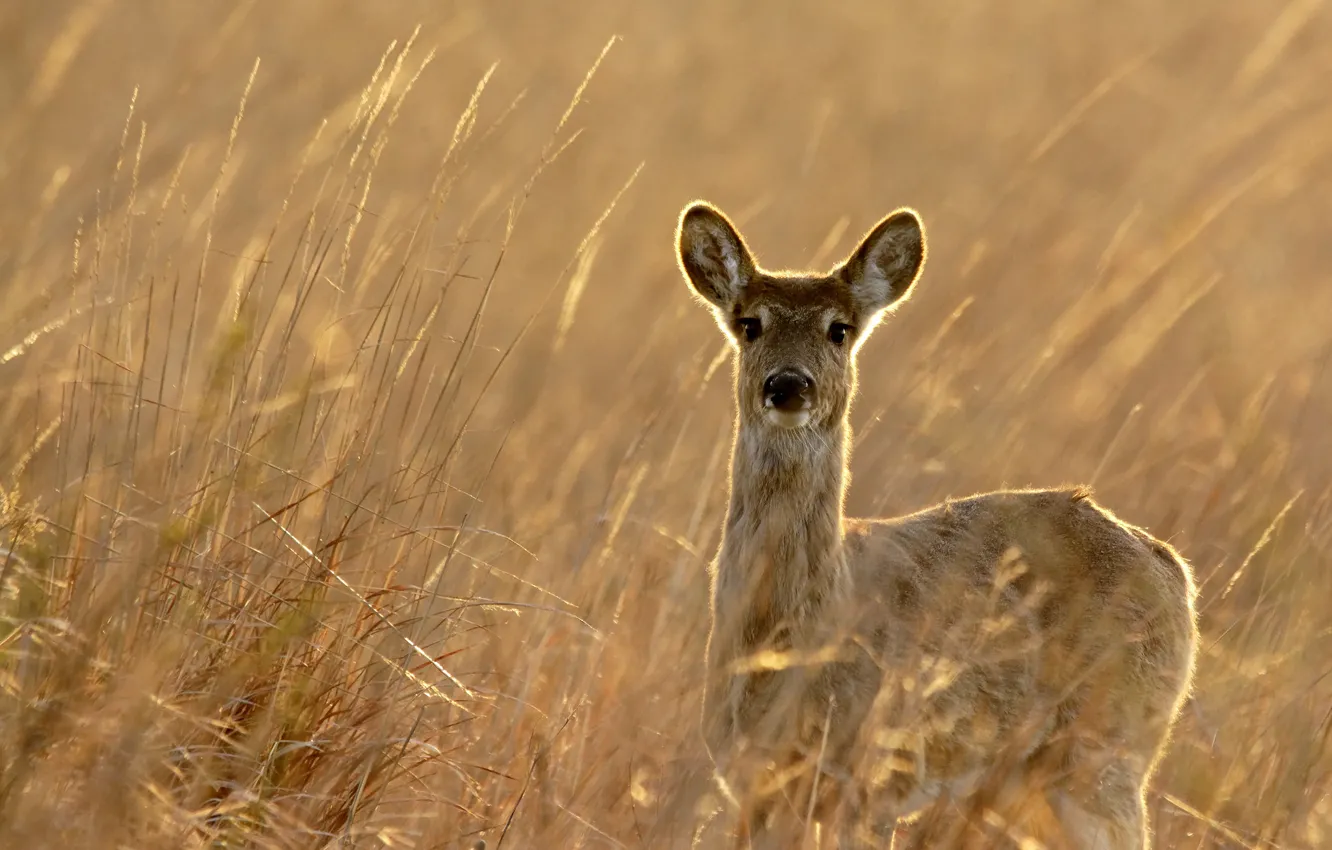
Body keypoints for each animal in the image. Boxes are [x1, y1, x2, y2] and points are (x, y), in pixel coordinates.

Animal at [676, 201, 1198, 850]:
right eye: (750, 323)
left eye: (839, 329)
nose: (789, 384)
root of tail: (1172, 567)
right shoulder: (751, 782)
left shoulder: (871, 779)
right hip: (1022, 789)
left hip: (1107, 749)